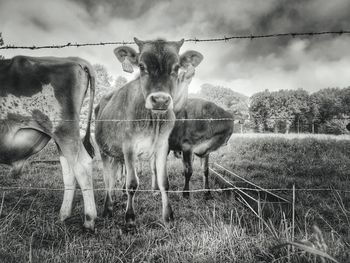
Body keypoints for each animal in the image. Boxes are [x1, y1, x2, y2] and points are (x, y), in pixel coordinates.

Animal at [0, 56, 97, 231]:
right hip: (61, 137)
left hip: (64, 130)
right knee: (69, 171)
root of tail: (74, 59)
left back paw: (89, 220)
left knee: (82, 165)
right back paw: (64, 215)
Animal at [94, 38, 204, 226]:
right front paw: (130, 217)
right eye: (141, 66)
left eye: (176, 67)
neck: (153, 121)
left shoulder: (162, 146)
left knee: (114, 176)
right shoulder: (129, 148)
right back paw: (108, 208)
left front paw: (168, 216)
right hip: (104, 149)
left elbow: (164, 182)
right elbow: (132, 183)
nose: (160, 100)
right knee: (108, 178)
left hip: (116, 154)